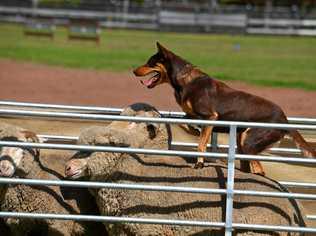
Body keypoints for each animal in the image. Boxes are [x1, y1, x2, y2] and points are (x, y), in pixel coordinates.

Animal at [132, 42, 314, 175]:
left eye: (150, 62)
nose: (133, 71)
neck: (184, 81)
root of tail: (285, 119)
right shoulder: (192, 116)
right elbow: (188, 126)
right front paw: (195, 132)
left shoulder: (210, 116)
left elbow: (201, 144)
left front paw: (199, 164)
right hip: (241, 141)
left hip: (249, 142)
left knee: (260, 170)